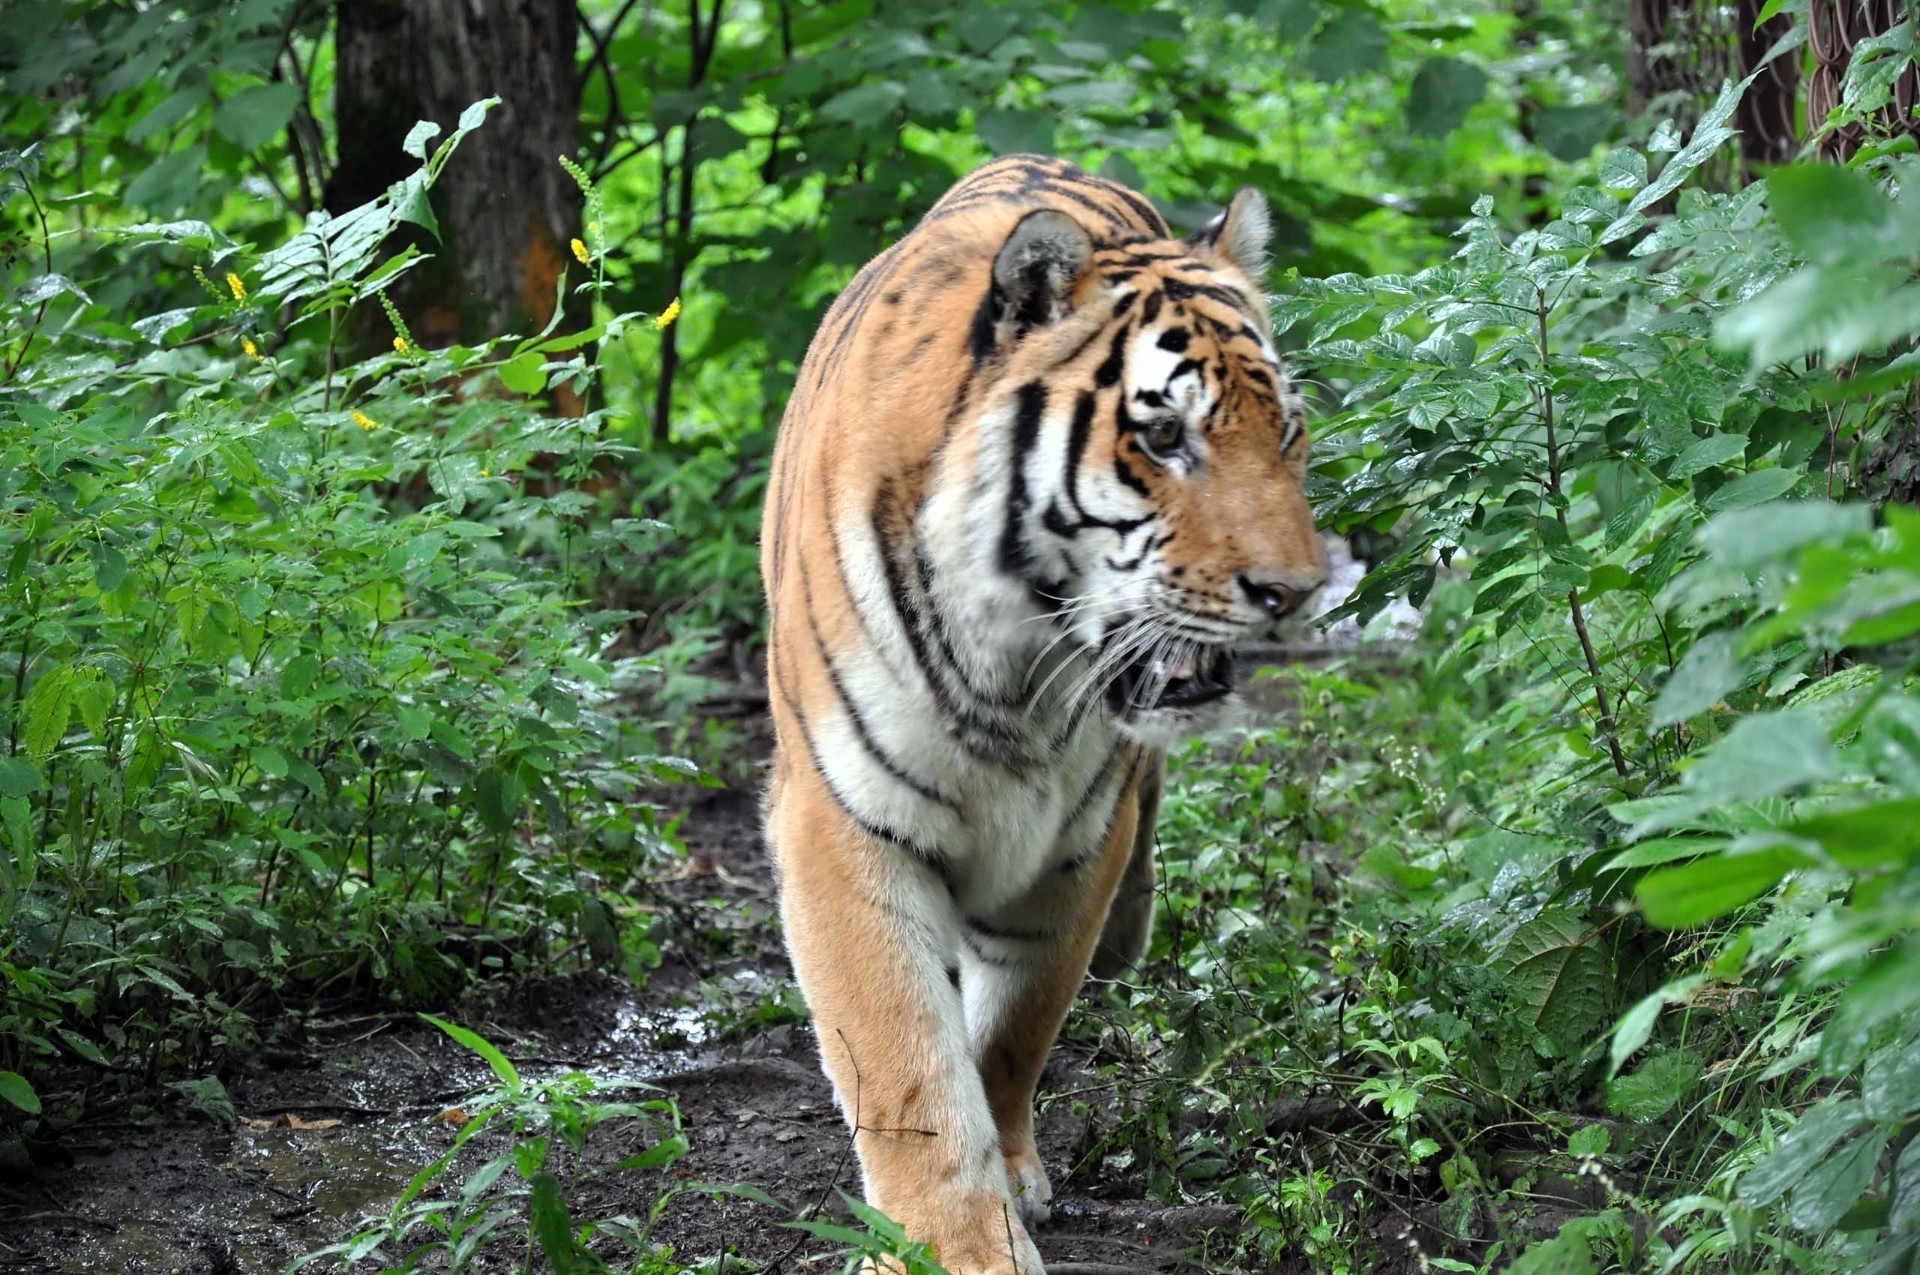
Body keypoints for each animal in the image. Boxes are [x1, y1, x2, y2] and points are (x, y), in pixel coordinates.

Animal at [756, 154, 1328, 1267]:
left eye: (1284, 430)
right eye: (1163, 436)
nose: (1297, 592)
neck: (1015, 665)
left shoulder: (1075, 841)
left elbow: (1015, 1027)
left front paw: (1011, 1177)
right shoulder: (844, 827)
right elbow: (907, 1071)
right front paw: (954, 1247)